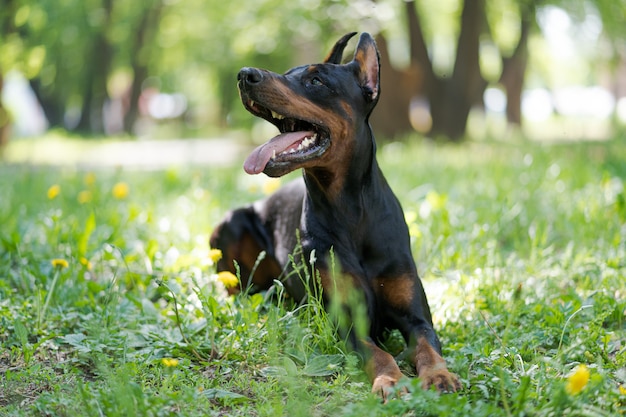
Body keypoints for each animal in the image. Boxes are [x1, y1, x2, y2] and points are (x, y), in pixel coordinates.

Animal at [210, 31, 458, 396]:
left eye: (316, 80)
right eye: (288, 72)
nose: (245, 75)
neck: (350, 210)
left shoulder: (417, 317)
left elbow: (427, 345)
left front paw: (440, 375)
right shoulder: (347, 321)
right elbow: (378, 353)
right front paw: (391, 380)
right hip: (232, 223)